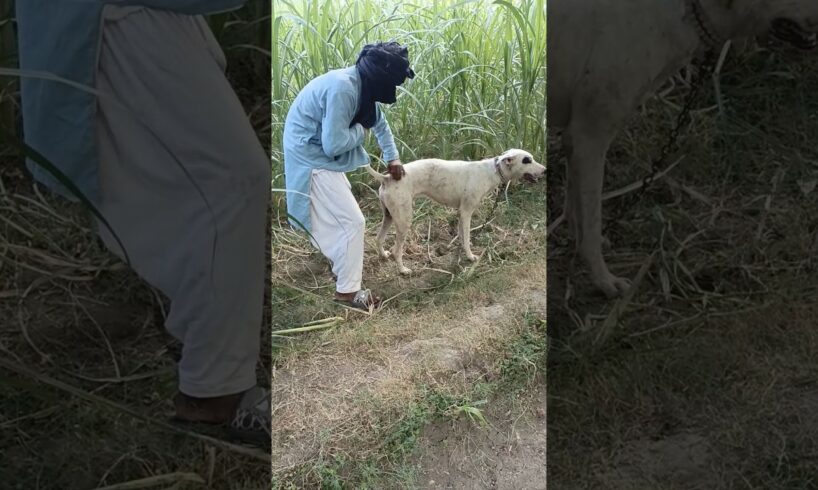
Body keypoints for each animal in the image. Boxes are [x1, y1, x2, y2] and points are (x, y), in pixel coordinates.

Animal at [364, 147, 540, 274]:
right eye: (527, 160)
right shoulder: (467, 212)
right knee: (396, 250)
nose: (544, 170)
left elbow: (462, 236)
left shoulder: (461, 213)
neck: (492, 170)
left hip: (389, 216)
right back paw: (403, 270)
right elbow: (467, 238)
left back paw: (383, 255)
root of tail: (386, 177)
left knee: (379, 239)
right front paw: (470, 257)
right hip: (403, 221)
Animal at [544, 0, 816, 298]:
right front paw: (604, 280)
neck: (683, 10)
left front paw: (576, 236)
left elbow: (576, 207)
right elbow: (591, 223)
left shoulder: (575, 139)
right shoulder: (590, 138)